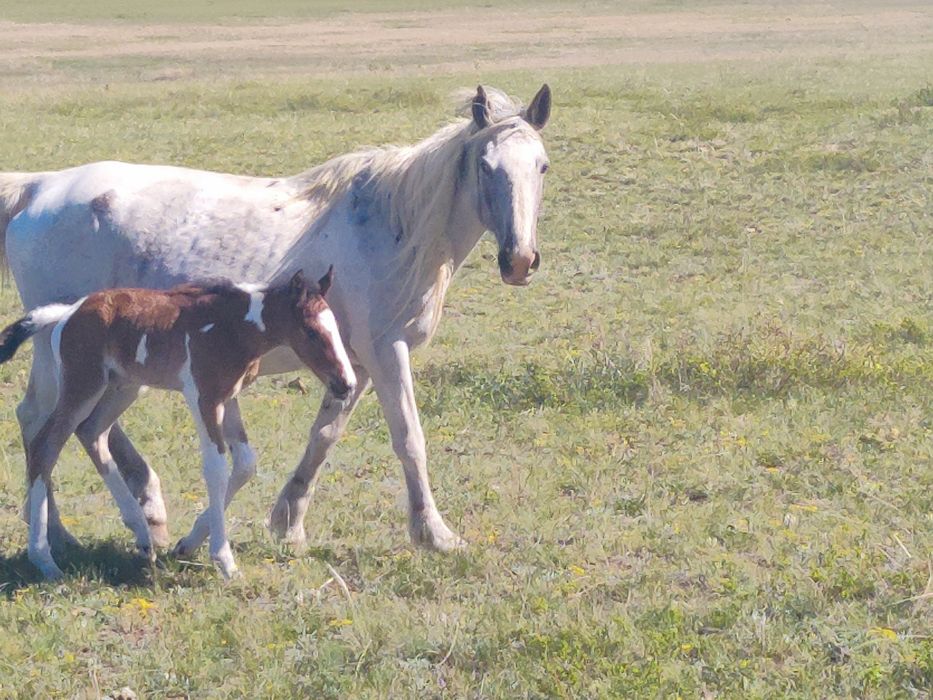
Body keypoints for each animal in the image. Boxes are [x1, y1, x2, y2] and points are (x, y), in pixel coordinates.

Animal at [0, 269, 355, 579]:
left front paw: (187, 544)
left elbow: (245, 465)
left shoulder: (228, 398)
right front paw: (225, 561)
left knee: (91, 432)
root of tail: (67, 313)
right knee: (47, 445)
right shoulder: (203, 397)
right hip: (83, 385)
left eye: (336, 328)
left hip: (124, 386)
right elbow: (216, 468)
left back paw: (142, 534)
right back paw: (45, 560)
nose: (346, 384)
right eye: (311, 332)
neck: (234, 326)